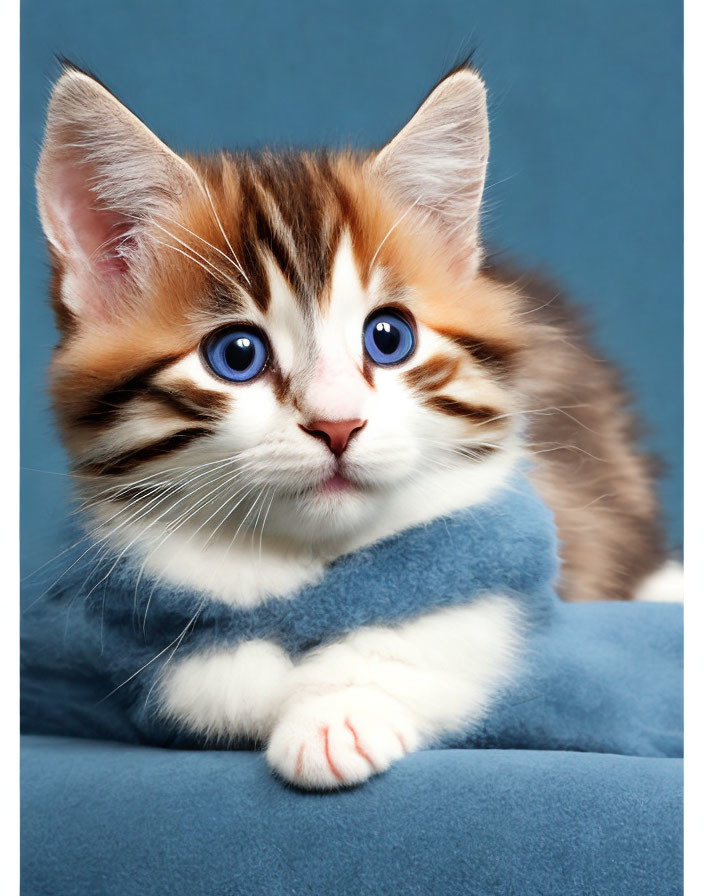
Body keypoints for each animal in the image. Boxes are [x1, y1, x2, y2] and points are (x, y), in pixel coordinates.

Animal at [34, 63, 680, 788]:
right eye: (237, 354)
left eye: (388, 337)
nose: (338, 425)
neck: (309, 564)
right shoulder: (131, 594)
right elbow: (193, 674)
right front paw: (260, 682)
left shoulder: (512, 528)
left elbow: (442, 626)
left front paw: (337, 712)